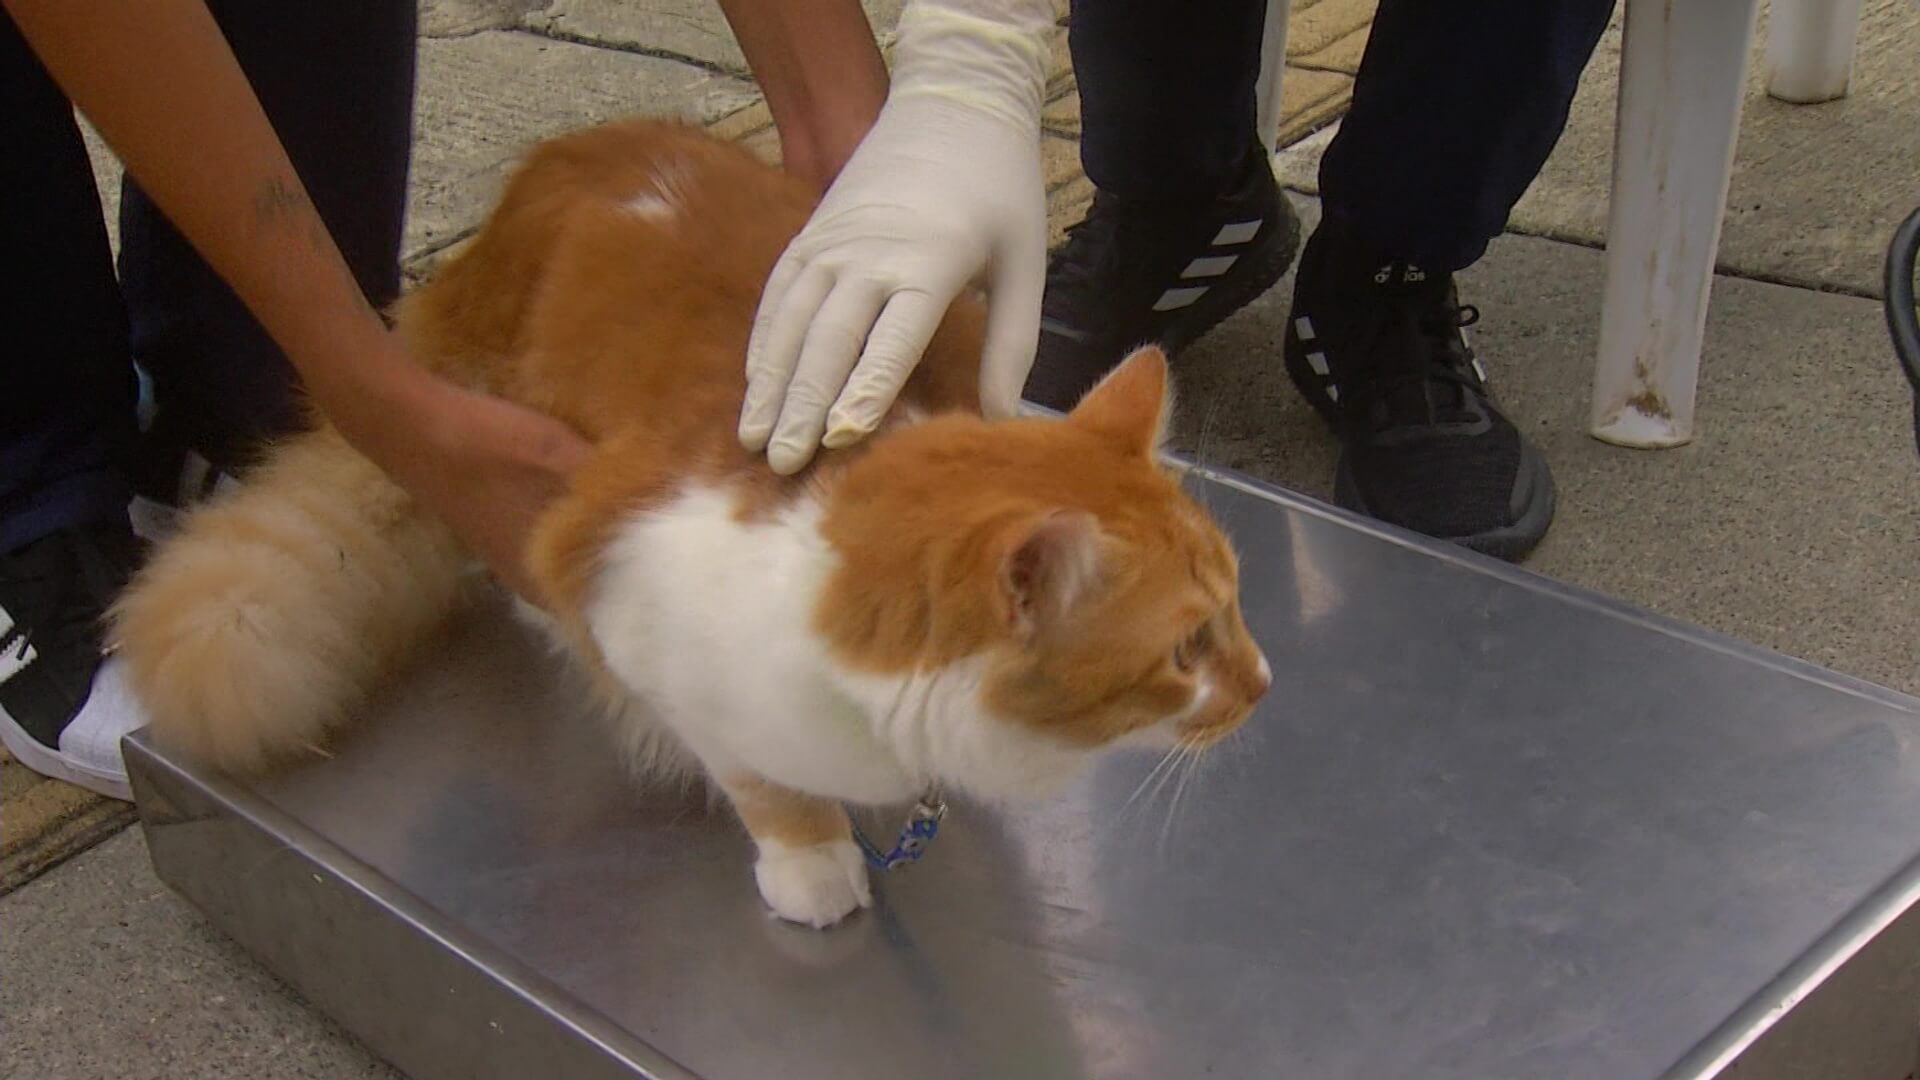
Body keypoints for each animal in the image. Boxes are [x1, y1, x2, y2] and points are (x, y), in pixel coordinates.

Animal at [108, 117, 1274, 926]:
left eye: (1240, 611)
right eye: (1186, 650)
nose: (1264, 685)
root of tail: (547, 169)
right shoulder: (642, 627)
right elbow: (761, 783)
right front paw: (814, 864)